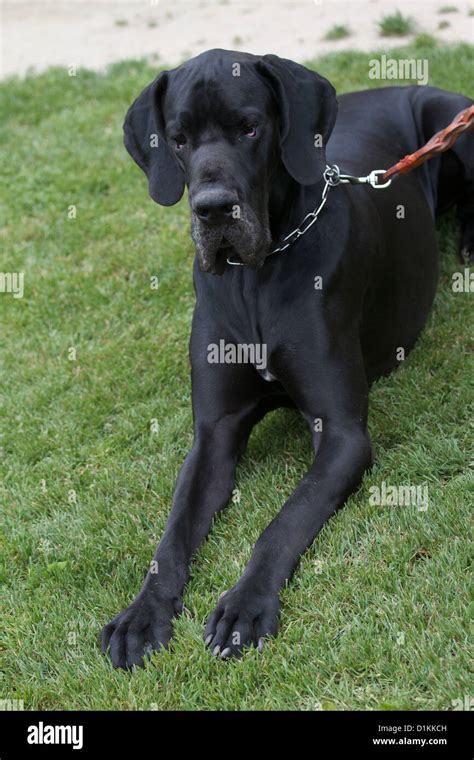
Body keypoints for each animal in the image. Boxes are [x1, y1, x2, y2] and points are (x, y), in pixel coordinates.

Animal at [102, 49, 472, 664]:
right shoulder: (214, 431)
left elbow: (284, 520)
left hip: (458, 126)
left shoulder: (342, 433)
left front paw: (245, 606)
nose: (213, 210)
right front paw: (141, 615)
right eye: (178, 139)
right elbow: (173, 533)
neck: (257, 274)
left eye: (250, 128)